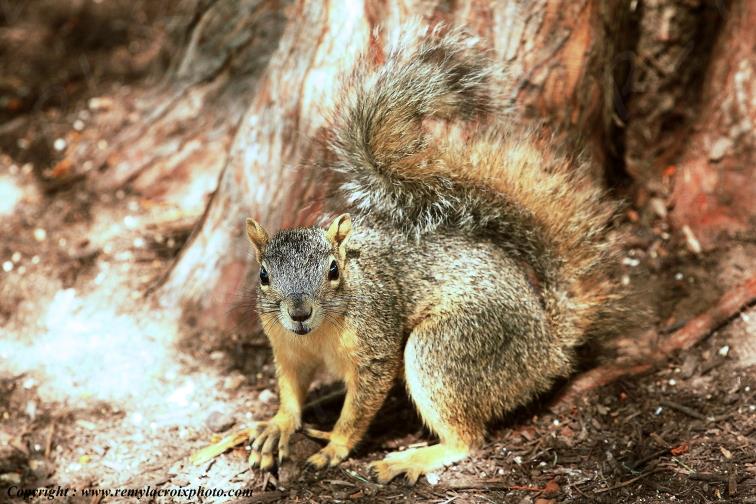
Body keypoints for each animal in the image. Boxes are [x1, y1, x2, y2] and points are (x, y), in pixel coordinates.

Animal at [243, 24, 630, 484]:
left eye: (334, 270)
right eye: (264, 275)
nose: (299, 312)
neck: (317, 334)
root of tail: (546, 350)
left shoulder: (376, 346)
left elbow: (361, 406)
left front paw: (336, 445)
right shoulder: (286, 347)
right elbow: (289, 390)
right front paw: (278, 426)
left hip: (445, 348)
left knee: (467, 438)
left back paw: (410, 459)